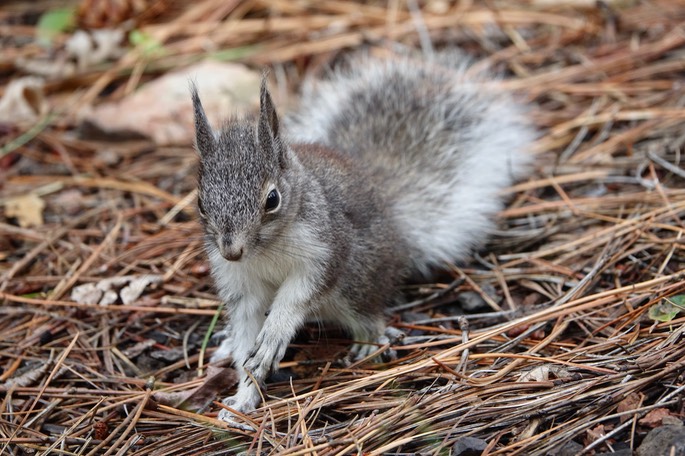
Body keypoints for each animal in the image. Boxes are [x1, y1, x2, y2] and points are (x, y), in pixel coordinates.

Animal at [191, 50, 536, 424]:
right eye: (201, 203)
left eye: (272, 199)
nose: (231, 251)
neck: (265, 250)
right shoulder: (241, 284)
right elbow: (246, 334)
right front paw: (243, 397)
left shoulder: (327, 250)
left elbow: (298, 297)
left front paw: (274, 335)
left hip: (358, 278)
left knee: (366, 314)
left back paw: (370, 340)